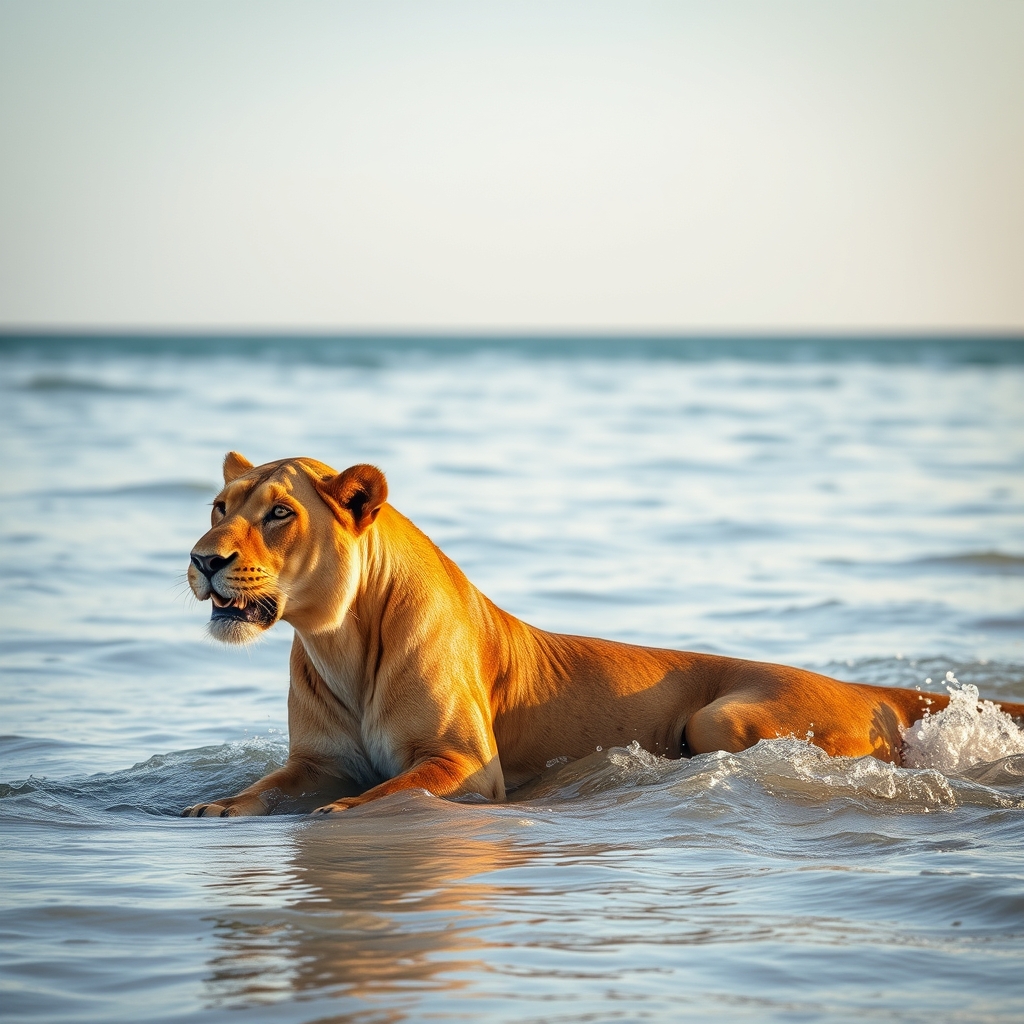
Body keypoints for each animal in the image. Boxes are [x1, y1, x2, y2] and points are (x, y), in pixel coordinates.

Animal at [182, 453, 1024, 817]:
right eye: (220, 506)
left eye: (279, 513)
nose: (201, 558)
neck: (340, 641)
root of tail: (860, 685)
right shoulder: (314, 763)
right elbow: (262, 788)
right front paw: (212, 812)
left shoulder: (466, 767)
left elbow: (383, 792)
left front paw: (340, 815)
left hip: (722, 718)